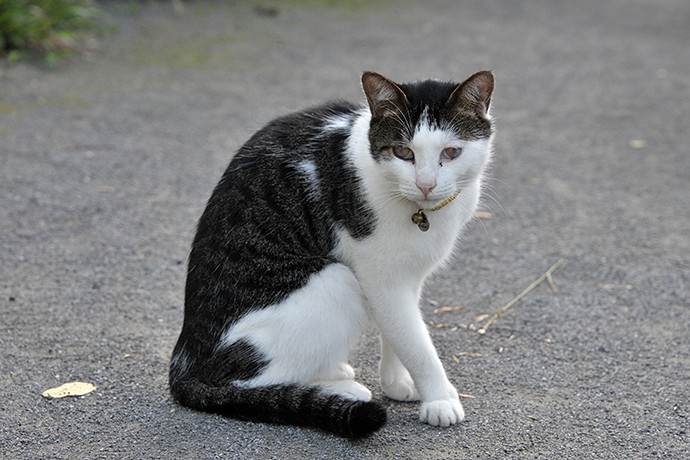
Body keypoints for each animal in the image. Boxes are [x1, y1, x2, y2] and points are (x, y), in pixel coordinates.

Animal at [171, 71, 494, 438]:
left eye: (452, 152)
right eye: (403, 152)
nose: (426, 184)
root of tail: (185, 365)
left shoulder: (409, 275)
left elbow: (398, 331)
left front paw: (397, 382)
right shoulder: (380, 278)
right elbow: (416, 343)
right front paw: (440, 399)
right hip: (334, 279)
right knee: (249, 380)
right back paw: (339, 390)